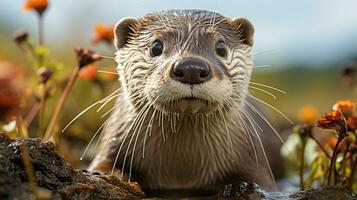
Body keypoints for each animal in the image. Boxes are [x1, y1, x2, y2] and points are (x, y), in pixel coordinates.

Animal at [88, 9, 276, 197]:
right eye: (156, 46)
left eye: (221, 47)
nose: (191, 68)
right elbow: (101, 167)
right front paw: (114, 175)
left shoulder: (252, 159)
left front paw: (238, 186)